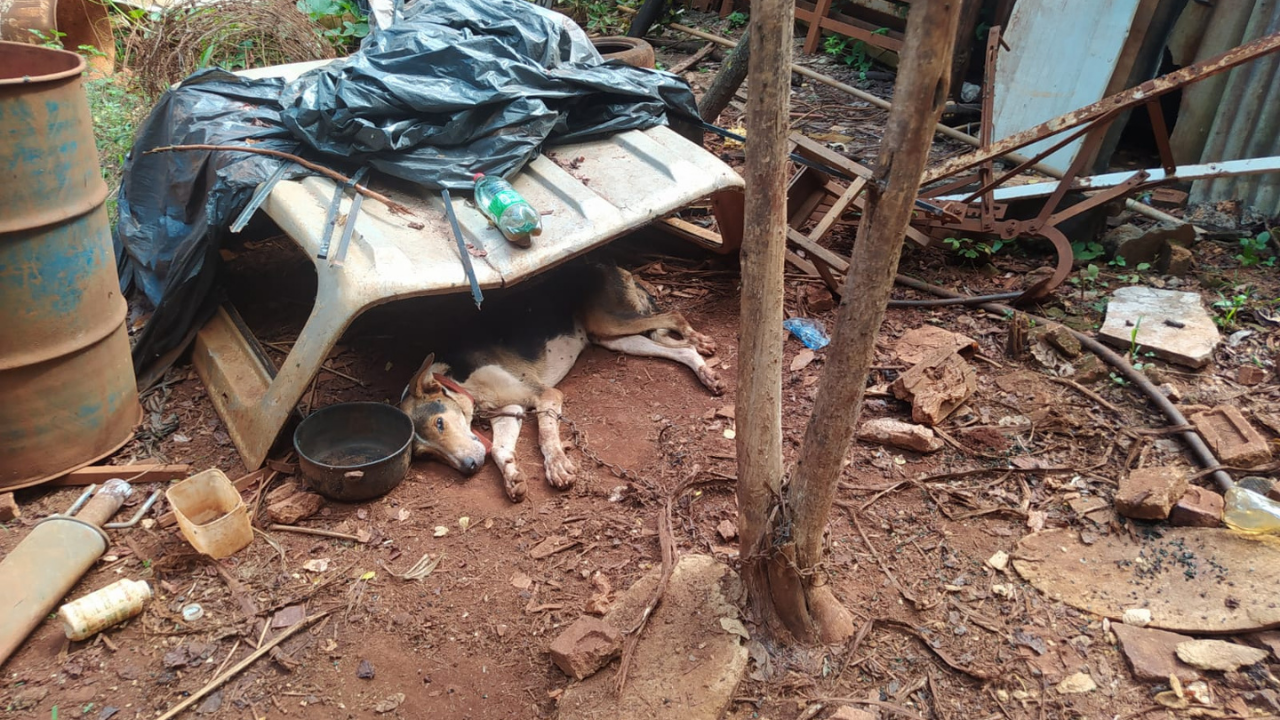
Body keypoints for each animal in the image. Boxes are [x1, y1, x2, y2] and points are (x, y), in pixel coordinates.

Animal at [399, 260, 721, 502]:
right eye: (426, 455)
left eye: (440, 423)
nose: (470, 468)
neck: (459, 381)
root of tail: (607, 264)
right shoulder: (509, 411)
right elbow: (500, 449)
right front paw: (512, 477)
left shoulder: (545, 395)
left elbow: (545, 435)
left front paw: (557, 467)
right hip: (612, 337)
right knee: (679, 350)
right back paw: (706, 373)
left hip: (611, 320)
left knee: (674, 315)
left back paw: (699, 340)